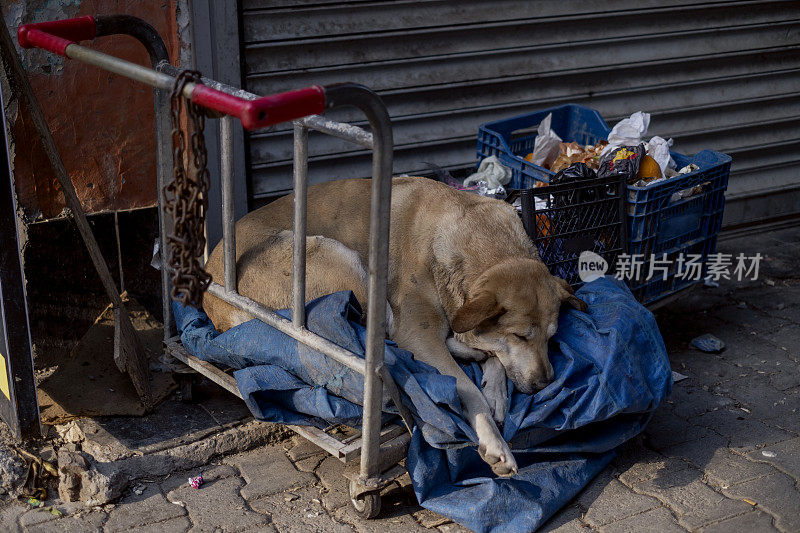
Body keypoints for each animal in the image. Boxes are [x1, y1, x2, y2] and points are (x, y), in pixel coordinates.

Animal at [203, 177, 584, 476]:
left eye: (552, 338)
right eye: (520, 335)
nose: (546, 383)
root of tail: (212, 290)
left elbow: (492, 356)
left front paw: (497, 392)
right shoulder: (418, 331)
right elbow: (465, 382)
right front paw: (495, 442)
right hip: (347, 267)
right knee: (386, 341)